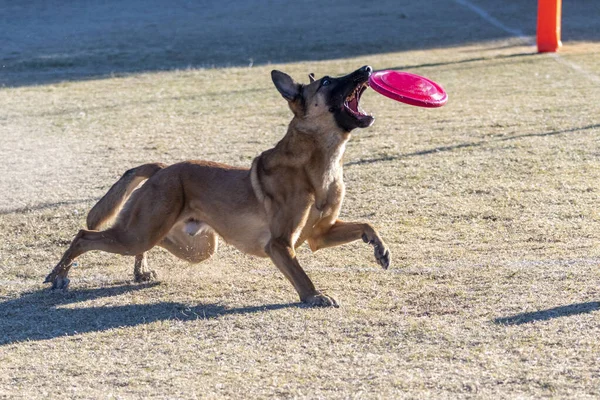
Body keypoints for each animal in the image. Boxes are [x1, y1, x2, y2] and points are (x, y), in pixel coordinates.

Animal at [44, 67, 392, 308]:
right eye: (327, 82)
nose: (366, 69)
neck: (318, 163)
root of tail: (162, 169)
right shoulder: (280, 245)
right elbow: (302, 277)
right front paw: (315, 297)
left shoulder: (321, 234)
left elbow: (367, 224)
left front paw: (380, 249)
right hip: (139, 234)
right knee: (84, 236)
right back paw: (59, 275)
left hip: (190, 244)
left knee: (150, 242)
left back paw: (140, 271)